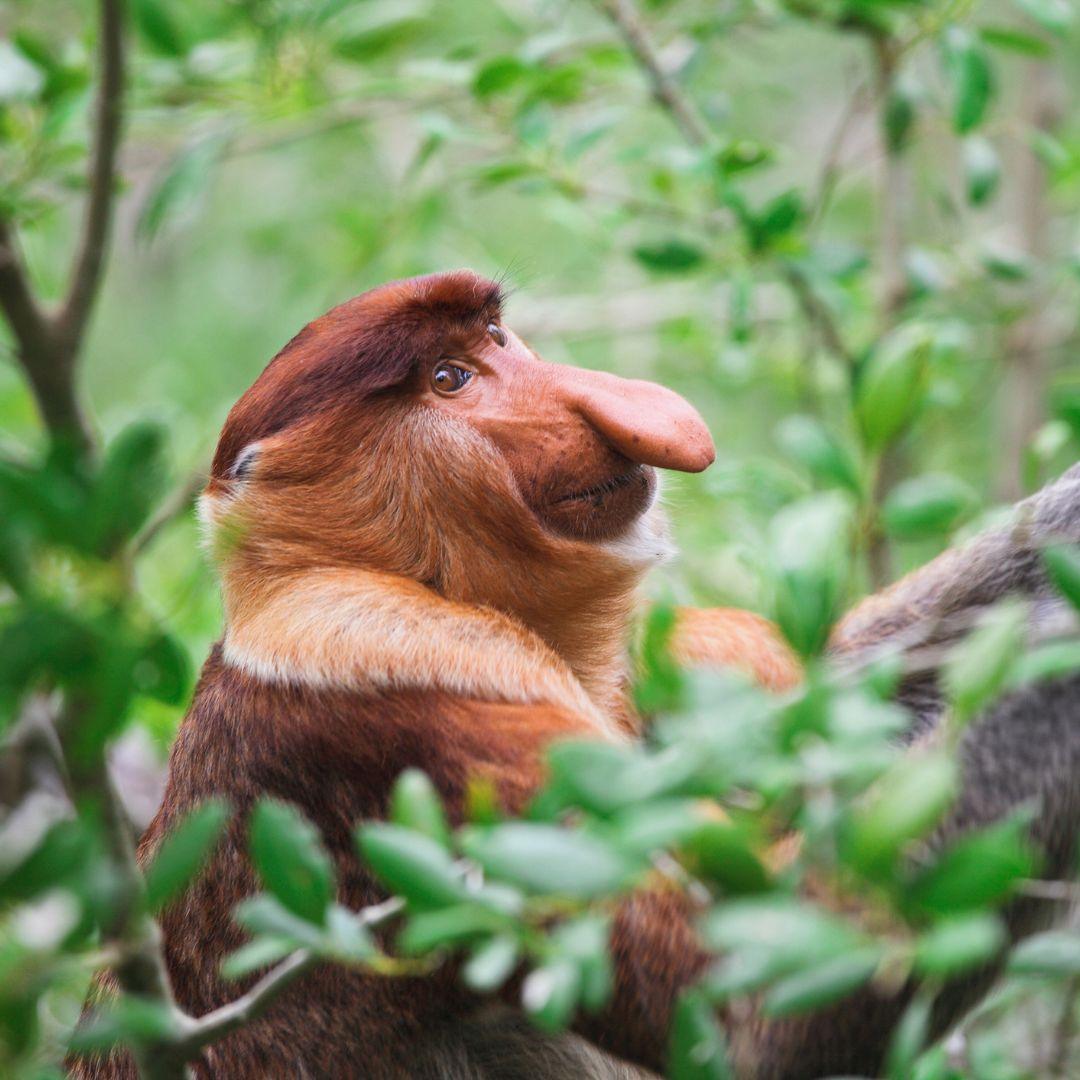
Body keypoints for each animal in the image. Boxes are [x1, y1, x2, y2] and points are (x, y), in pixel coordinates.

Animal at [69, 270, 1080, 1079]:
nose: (609, 404)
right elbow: (749, 1011)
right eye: (449, 380)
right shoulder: (405, 698)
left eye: (496, 337)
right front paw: (1052, 661)